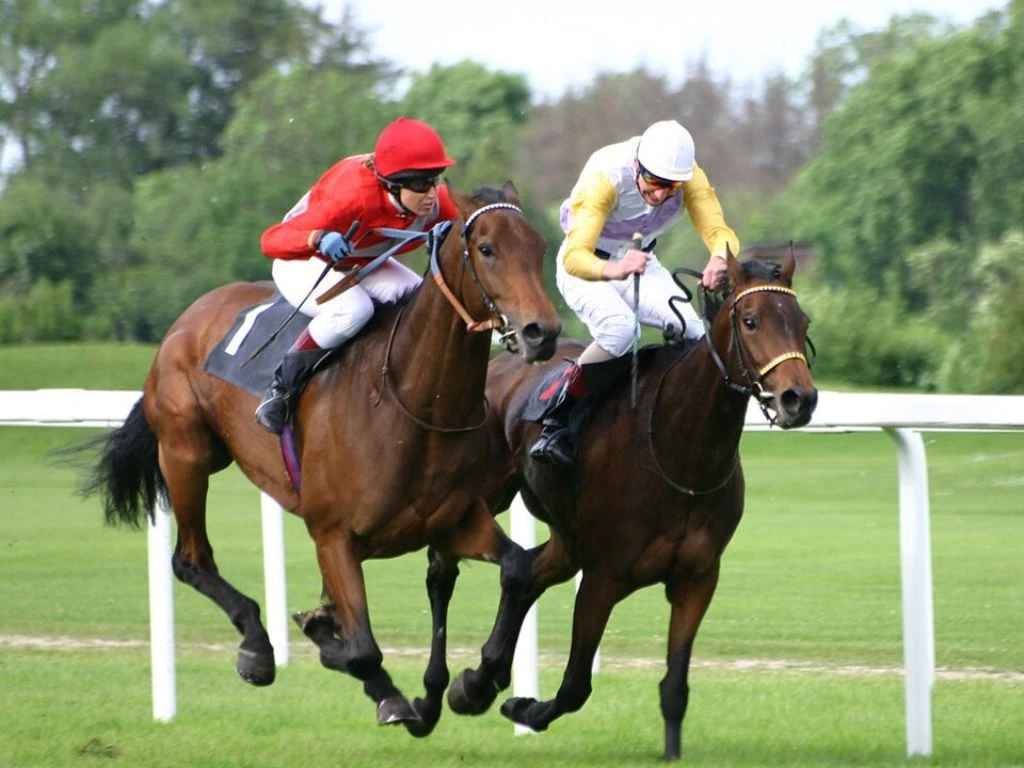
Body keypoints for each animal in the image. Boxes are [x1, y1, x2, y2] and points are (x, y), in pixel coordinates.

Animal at [79, 183, 561, 736]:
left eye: (539, 248)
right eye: (487, 249)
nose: (542, 332)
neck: (413, 407)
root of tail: (187, 318)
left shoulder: (452, 522)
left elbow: (518, 569)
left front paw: (476, 683)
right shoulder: (333, 535)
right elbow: (362, 649)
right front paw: (387, 691)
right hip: (186, 452)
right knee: (190, 559)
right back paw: (256, 647)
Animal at [444, 250, 818, 759]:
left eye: (803, 322)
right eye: (751, 320)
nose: (799, 398)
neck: (681, 452)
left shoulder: (697, 579)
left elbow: (674, 688)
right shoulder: (603, 576)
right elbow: (575, 686)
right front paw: (524, 708)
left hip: (568, 539)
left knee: (522, 574)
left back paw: (478, 681)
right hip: (476, 497)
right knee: (454, 561)